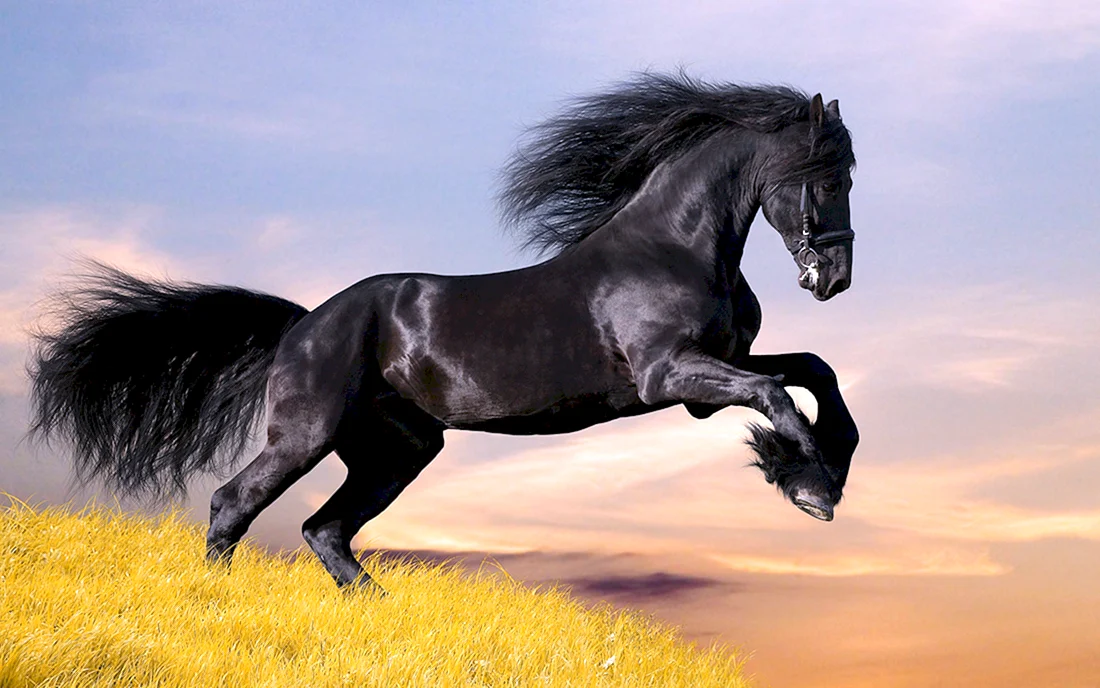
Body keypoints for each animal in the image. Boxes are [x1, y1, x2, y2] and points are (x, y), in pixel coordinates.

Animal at [29, 73, 859, 591]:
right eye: (826, 175)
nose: (834, 278)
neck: (673, 246)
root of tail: (304, 324)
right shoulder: (669, 377)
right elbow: (776, 394)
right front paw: (809, 487)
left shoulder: (709, 377)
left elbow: (813, 370)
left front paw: (821, 467)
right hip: (307, 434)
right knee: (235, 504)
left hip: (398, 449)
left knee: (325, 529)